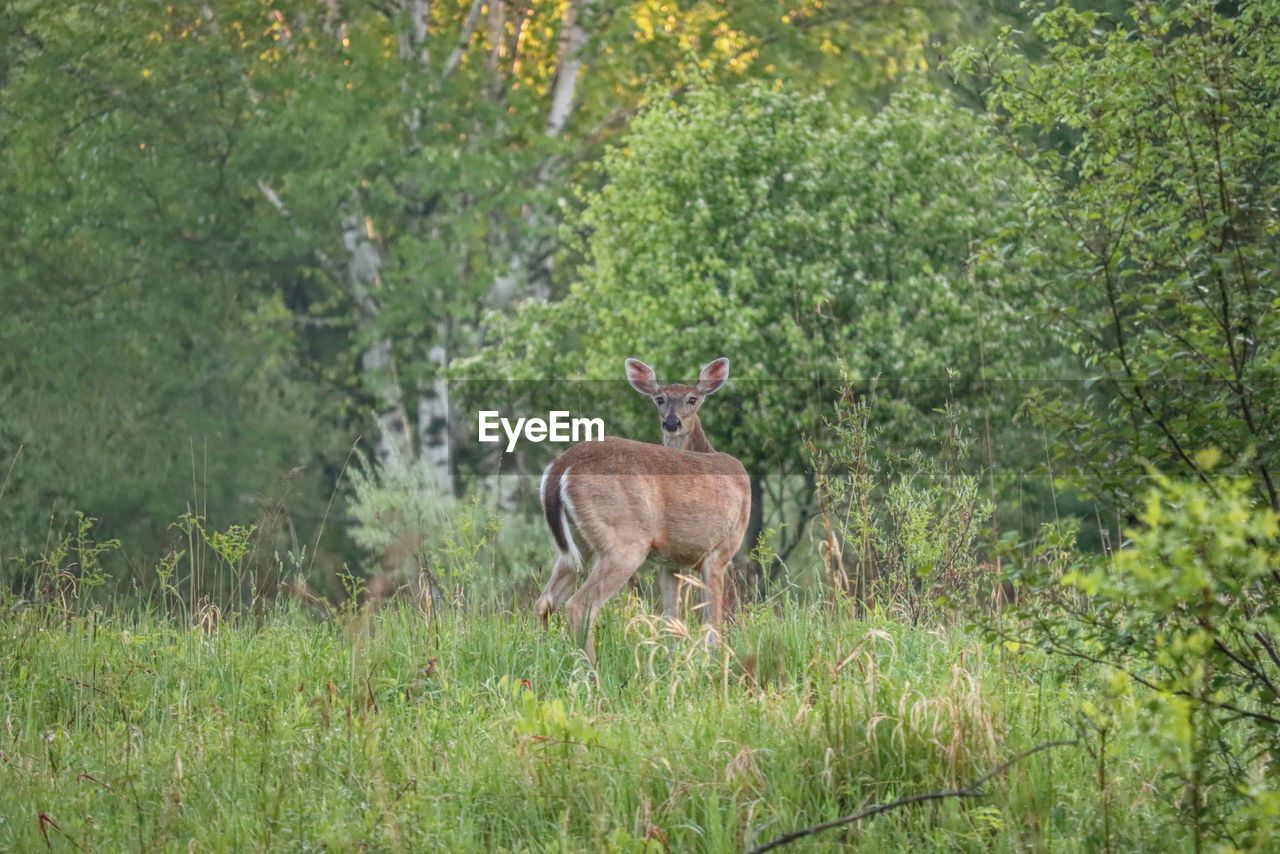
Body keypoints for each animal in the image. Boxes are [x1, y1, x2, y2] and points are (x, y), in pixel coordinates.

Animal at [537, 353, 752, 660]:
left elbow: (672, 622)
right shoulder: (720, 553)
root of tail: (562, 465)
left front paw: (673, 663)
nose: (672, 423)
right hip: (625, 541)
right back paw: (592, 669)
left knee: (545, 601)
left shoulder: (671, 562)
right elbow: (713, 627)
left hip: (578, 543)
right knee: (579, 605)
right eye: (659, 399)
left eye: (692, 399)